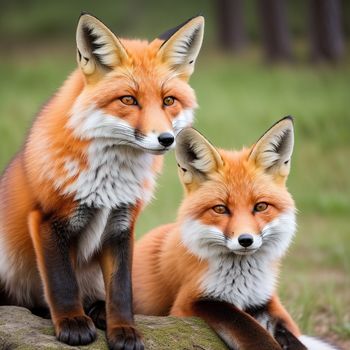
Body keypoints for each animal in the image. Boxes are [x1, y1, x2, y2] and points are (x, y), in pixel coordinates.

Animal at [0, 12, 205, 348]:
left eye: (169, 101)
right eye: (128, 100)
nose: (166, 139)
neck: (109, 181)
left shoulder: (121, 225)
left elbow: (121, 289)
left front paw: (122, 329)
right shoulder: (48, 220)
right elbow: (62, 282)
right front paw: (72, 324)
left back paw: (98, 310)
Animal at [133, 118, 338, 350]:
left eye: (261, 207)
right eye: (220, 209)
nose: (246, 240)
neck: (242, 281)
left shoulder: (264, 300)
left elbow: (290, 334)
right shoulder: (190, 303)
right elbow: (249, 329)